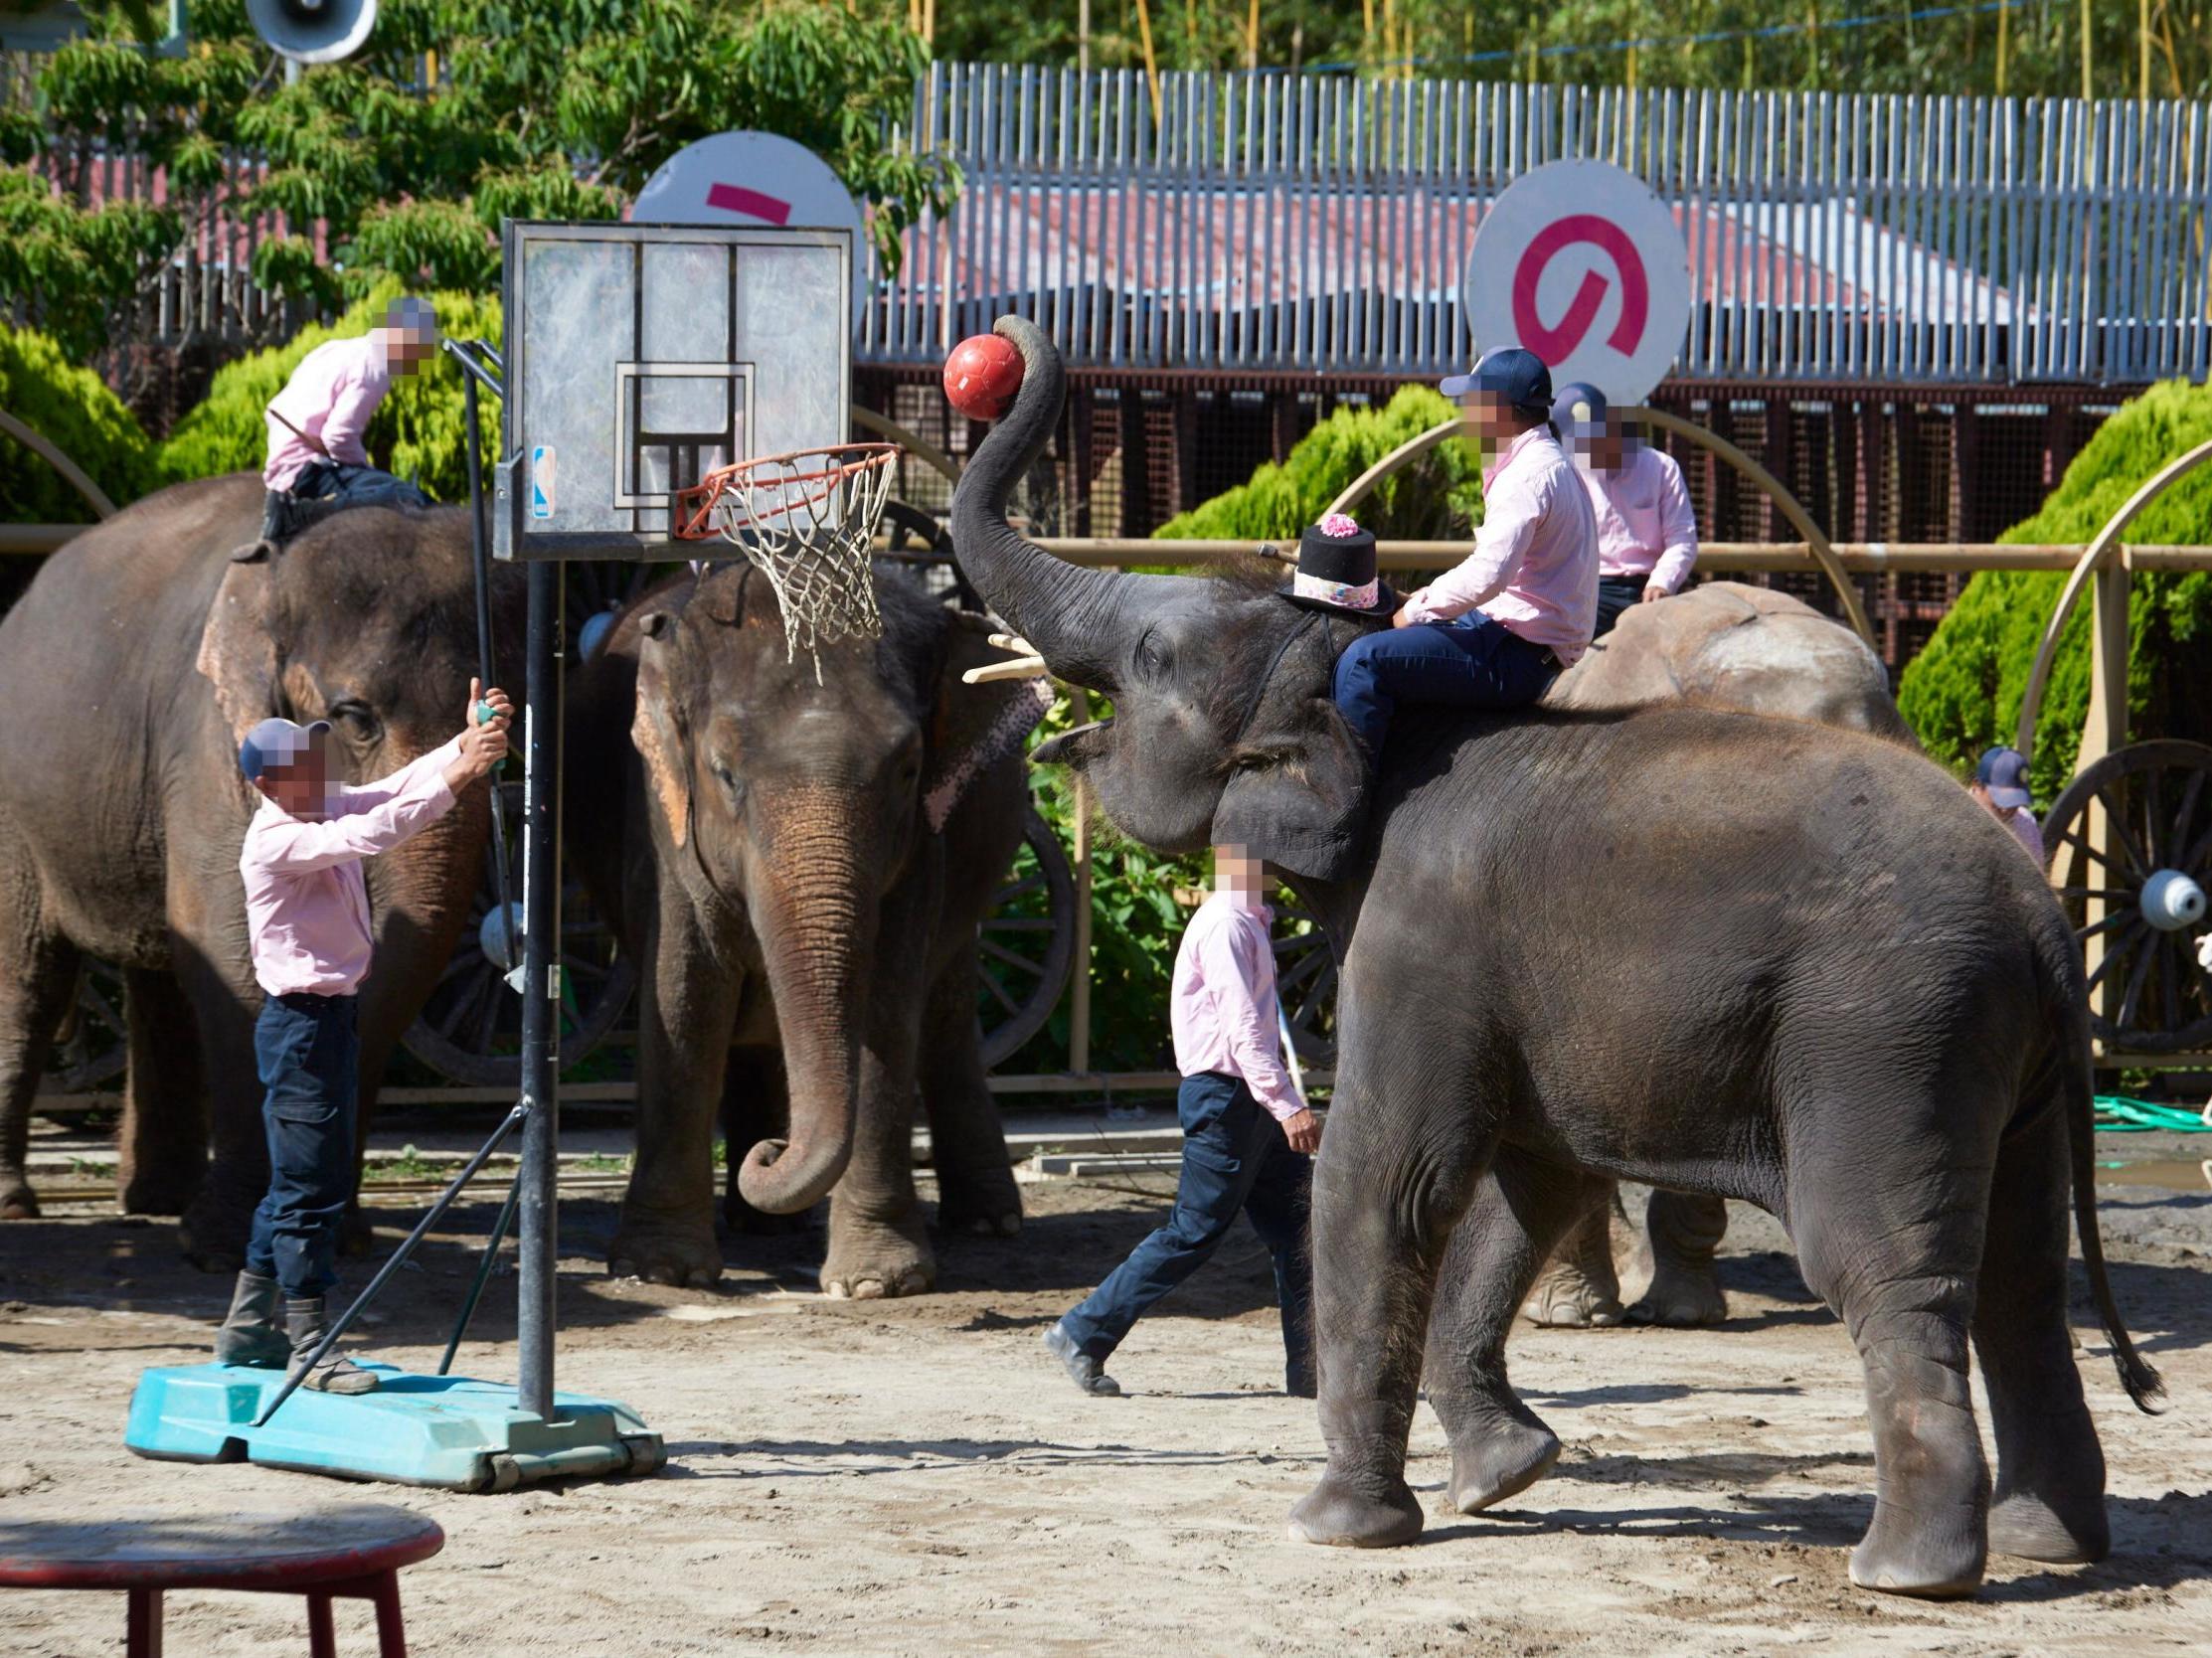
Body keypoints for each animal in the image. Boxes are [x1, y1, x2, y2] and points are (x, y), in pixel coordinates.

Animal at [0, 472, 517, 1264]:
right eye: (355, 717)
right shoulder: (206, 732)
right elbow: (224, 936)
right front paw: (227, 1244)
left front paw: (336, 1237)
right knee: (28, 974)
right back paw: (21, 1204)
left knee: (160, 974)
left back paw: (156, 1201)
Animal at [562, 559, 1026, 1299]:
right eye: (724, 774)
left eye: (908, 769)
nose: (772, 1151)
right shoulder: (663, 825)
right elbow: (682, 994)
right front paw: (662, 1272)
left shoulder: (920, 850)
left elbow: (887, 1007)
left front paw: (876, 1284)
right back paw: (761, 1224)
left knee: (946, 1019)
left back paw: (988, 1223)